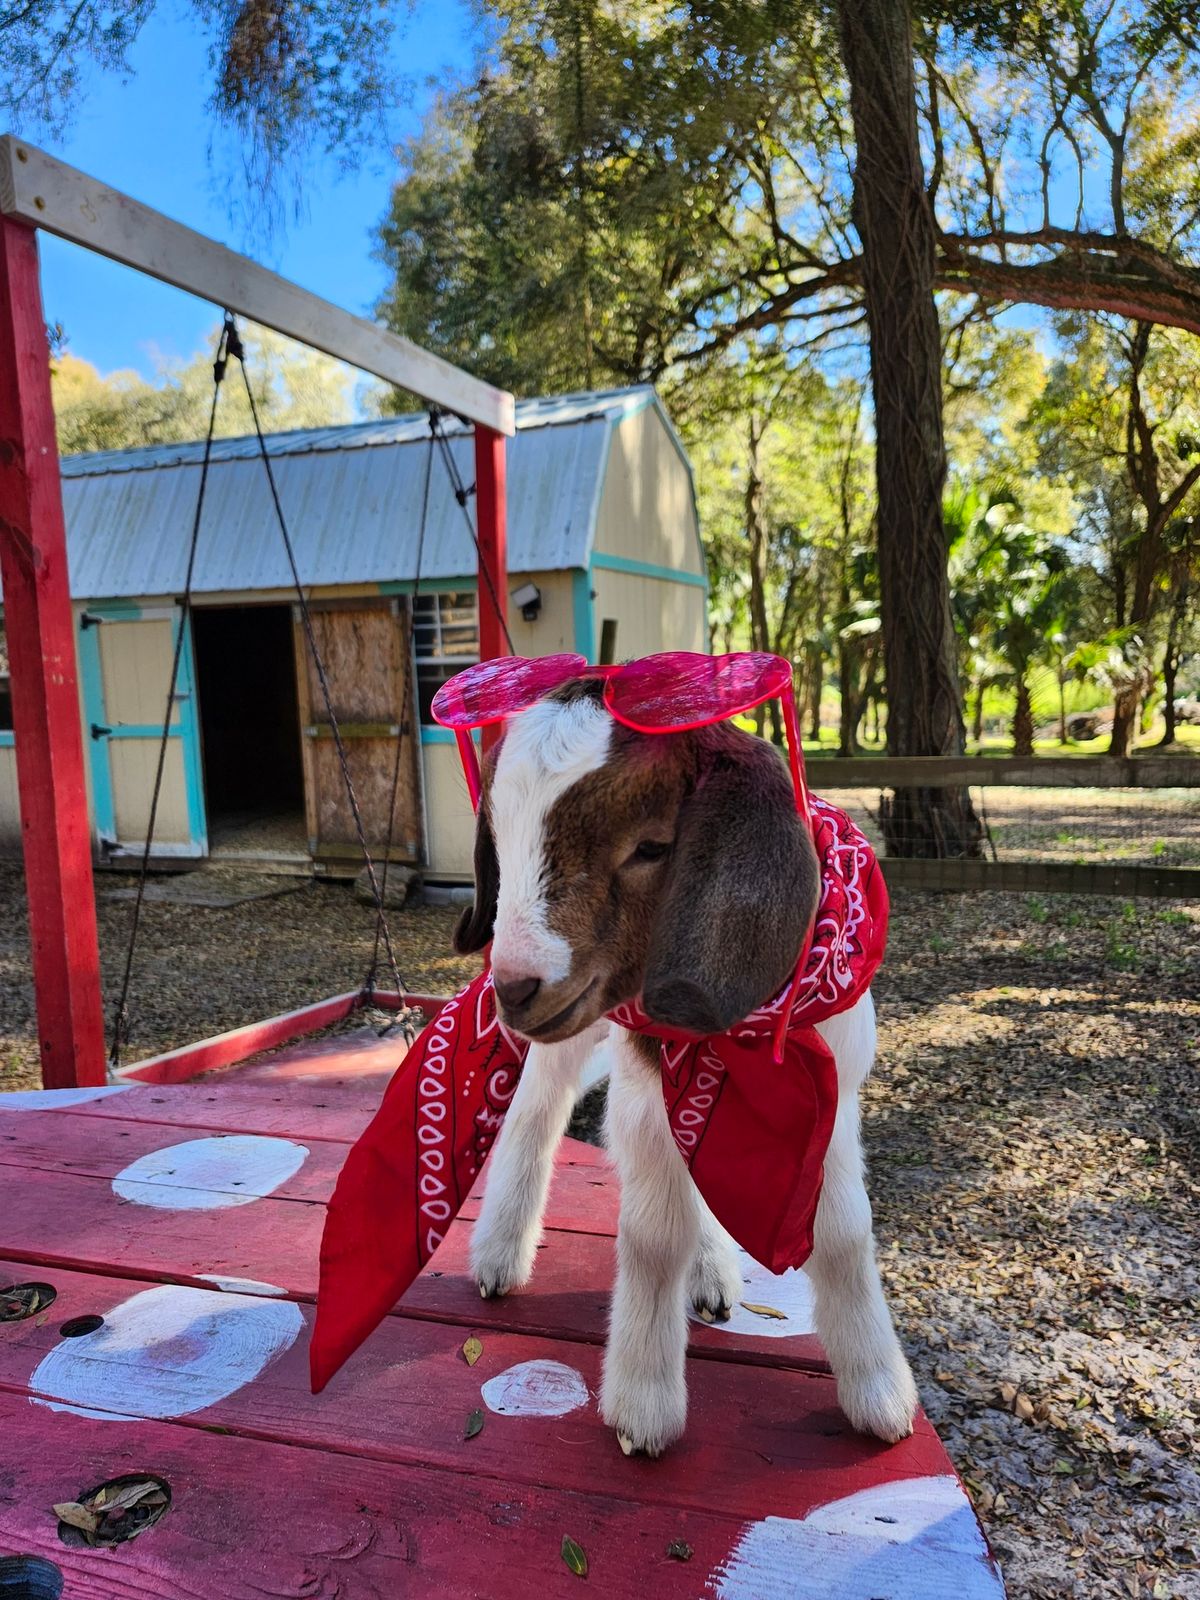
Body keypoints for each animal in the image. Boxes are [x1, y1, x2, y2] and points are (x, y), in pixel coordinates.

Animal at [454, 681, 915, 1459]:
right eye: (498, 840)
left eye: (652, 847)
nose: (514, 988)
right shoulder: (647, 1072)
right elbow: (652, 1235)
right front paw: (643, 1406)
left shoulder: (834, 1088)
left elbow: (845, 1230)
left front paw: (879, 1394)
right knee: (537, 1108)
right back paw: (498, 1256)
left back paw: (712, 1273)